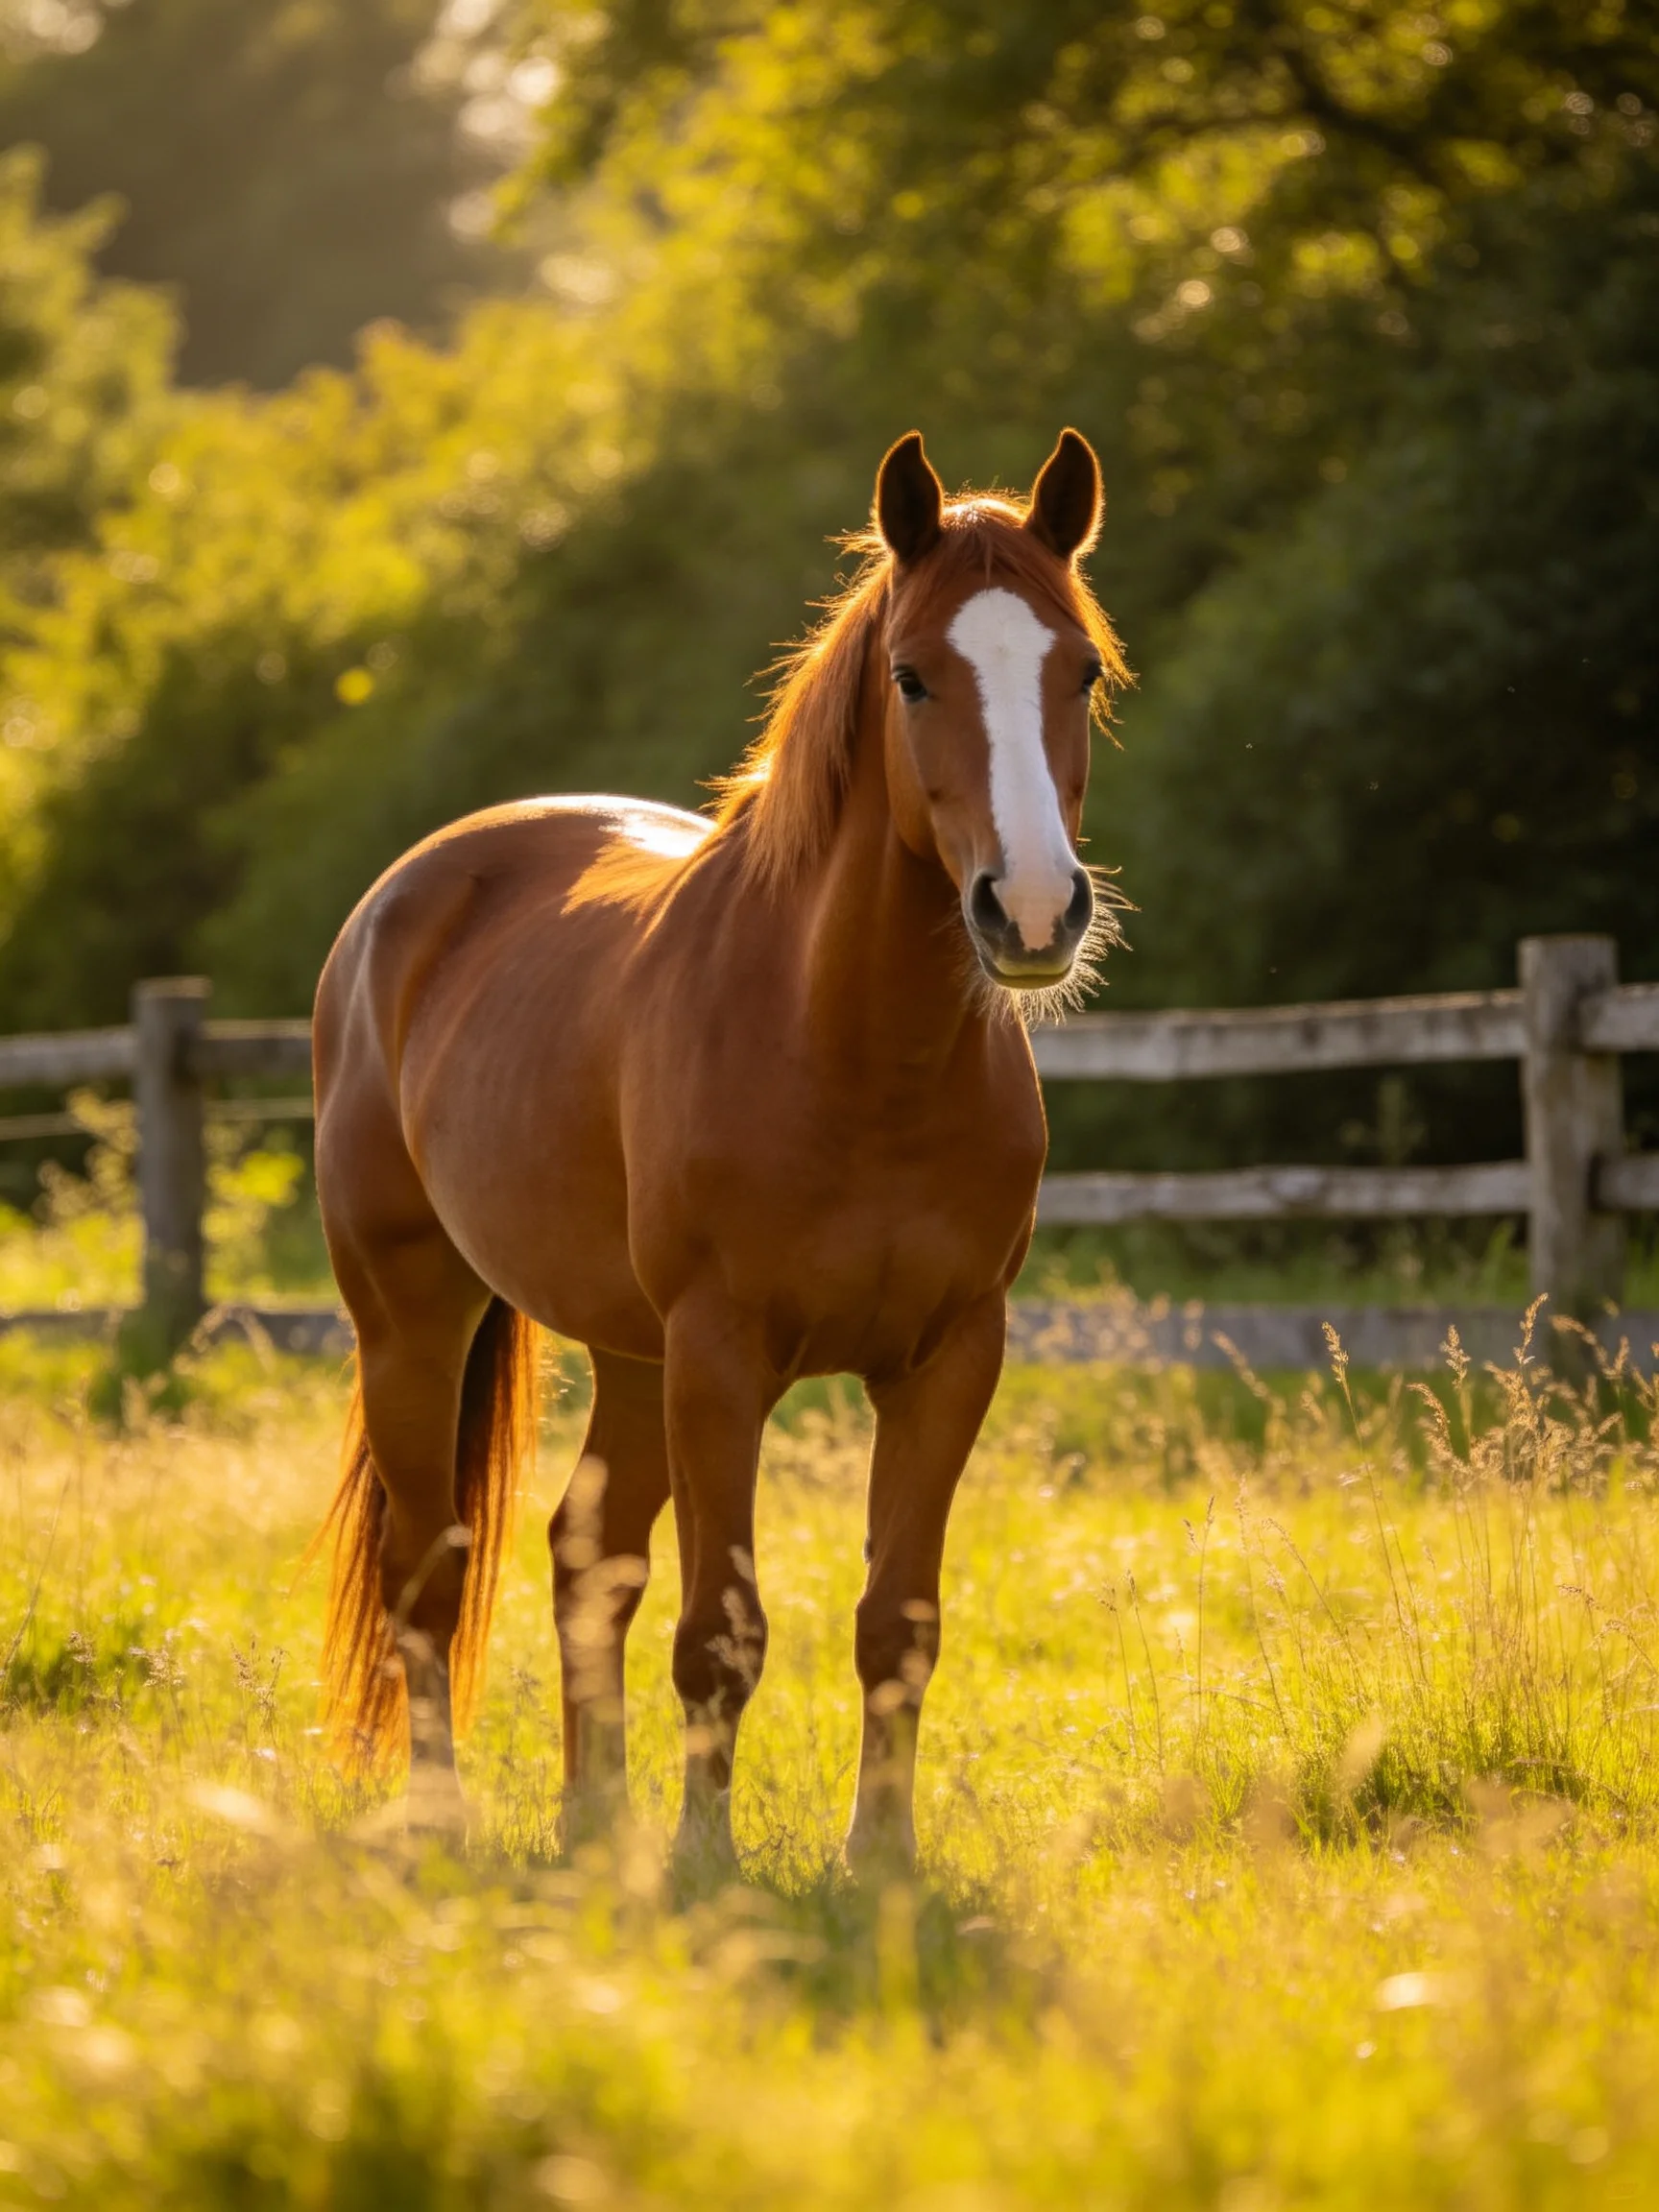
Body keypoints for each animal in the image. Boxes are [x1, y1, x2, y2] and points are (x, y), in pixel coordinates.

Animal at [312, 425, 1126, 1867]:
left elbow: (897, 1624)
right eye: (913, 674)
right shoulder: (722, 1359)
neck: (854, 1057)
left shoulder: (950, 1358)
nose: (1032, 911)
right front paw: (704, 1863)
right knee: (431, 1569)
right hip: (415, 1319)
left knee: (585, 1556)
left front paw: (880, 1862)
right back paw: (446, 1818)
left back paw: (593, 1823)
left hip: (628, 1355)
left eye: (1077, 669)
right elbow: (721, 1632)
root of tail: (400, 901)